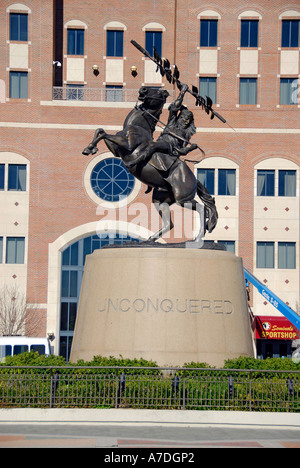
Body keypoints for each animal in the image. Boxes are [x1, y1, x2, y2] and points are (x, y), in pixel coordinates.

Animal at [82, 85, 218, 243]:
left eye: (158, 91)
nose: (143, 89)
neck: (137, 127)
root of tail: (195, 179)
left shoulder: (127, 145)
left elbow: (103, 133)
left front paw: (90, 148)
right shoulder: (116, 150)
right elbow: (100, 131)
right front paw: (89, 148)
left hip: (182, 198)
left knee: (203, 209)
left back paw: (198, 239)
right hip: (161, 200)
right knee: (170, 223)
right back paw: (151, 238)